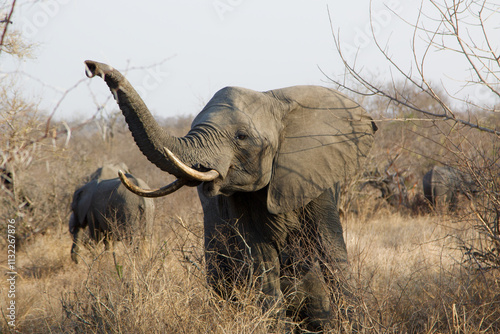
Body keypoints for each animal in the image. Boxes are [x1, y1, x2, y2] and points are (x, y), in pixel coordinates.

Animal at [84, 60, 376, 332]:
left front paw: (355, 324)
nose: (93, 67)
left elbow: (330, 249)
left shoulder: (317, 178)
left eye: (241, 136)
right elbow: (261, 259)